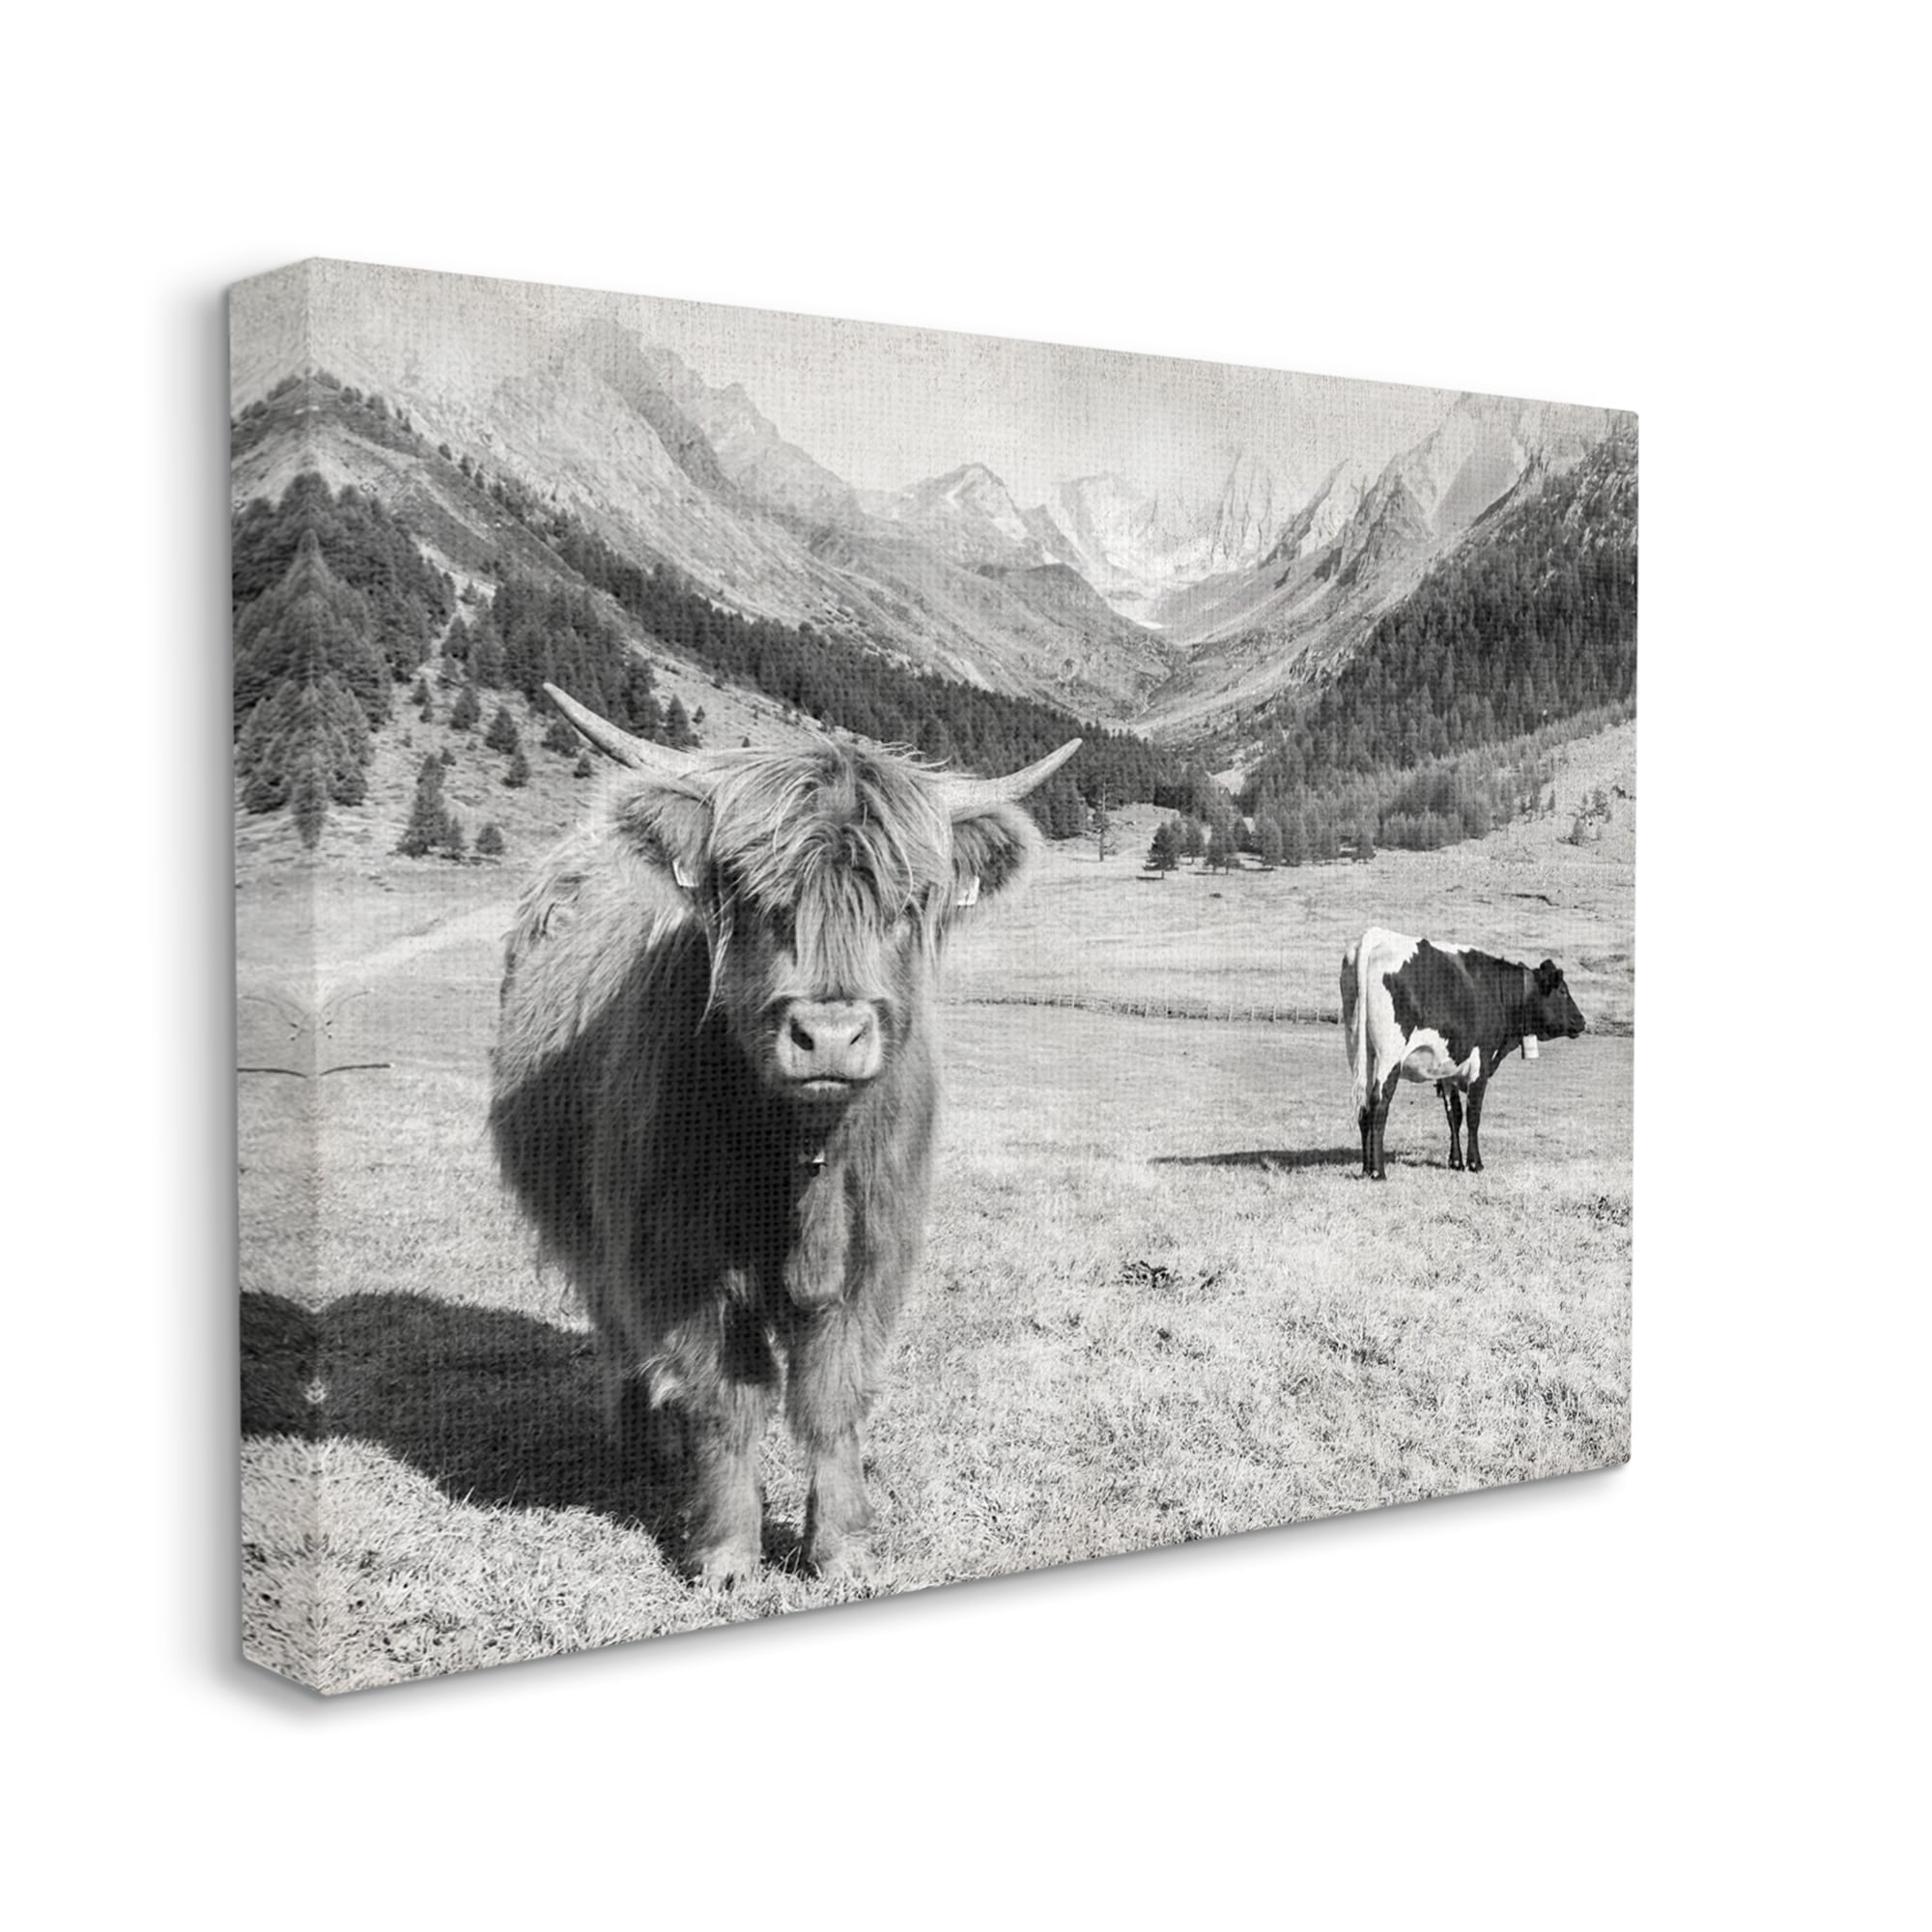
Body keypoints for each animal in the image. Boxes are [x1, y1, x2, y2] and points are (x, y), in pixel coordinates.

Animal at [489, 684, 1079, 1589]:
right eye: (755, 895)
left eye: (904, 903)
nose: (829, 1035)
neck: (804, 1159)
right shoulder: (679, 1256)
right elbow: (729, 1397)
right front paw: (728, 1553)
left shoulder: (874, 1251)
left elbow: (832, 1396)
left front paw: (841, 1545)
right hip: (595, 1233)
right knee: (619, 1331)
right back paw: (642, 1445)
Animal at [1341, 926, 1586, 1180]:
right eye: (1562, 991)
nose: (1582, 1021)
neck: (1499, 992)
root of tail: (1376, 936)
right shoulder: (1481, 1063)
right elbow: (1473, 1114)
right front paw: (1475, 1163)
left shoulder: (1448, 1069)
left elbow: (1454, 1115)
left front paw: (1455, 1161)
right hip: (1390, 1054)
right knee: (1379, 1102)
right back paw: (1378, 1171)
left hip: (1360, 1052)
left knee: (1364, 1107)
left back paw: (1366, 1168)